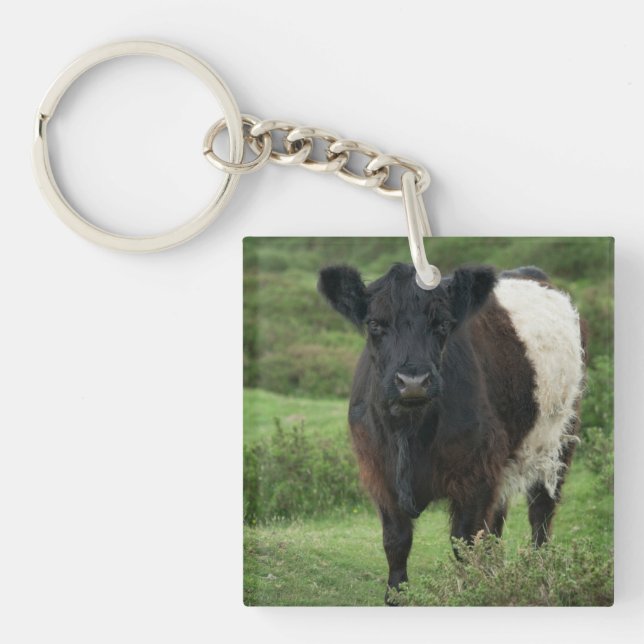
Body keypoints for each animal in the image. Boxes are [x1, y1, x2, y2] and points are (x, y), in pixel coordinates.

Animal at [318, 263, 585, 603]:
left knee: (541, 513)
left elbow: (466, 543)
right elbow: (396, 541)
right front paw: (396, 598)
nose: (413, 381)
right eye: (375, 324)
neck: (410, 430)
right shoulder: (378, 472)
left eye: (443, 324)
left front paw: (473, 594)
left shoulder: (476, 474)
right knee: (498, 523)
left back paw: (541, 579)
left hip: (558, 441)